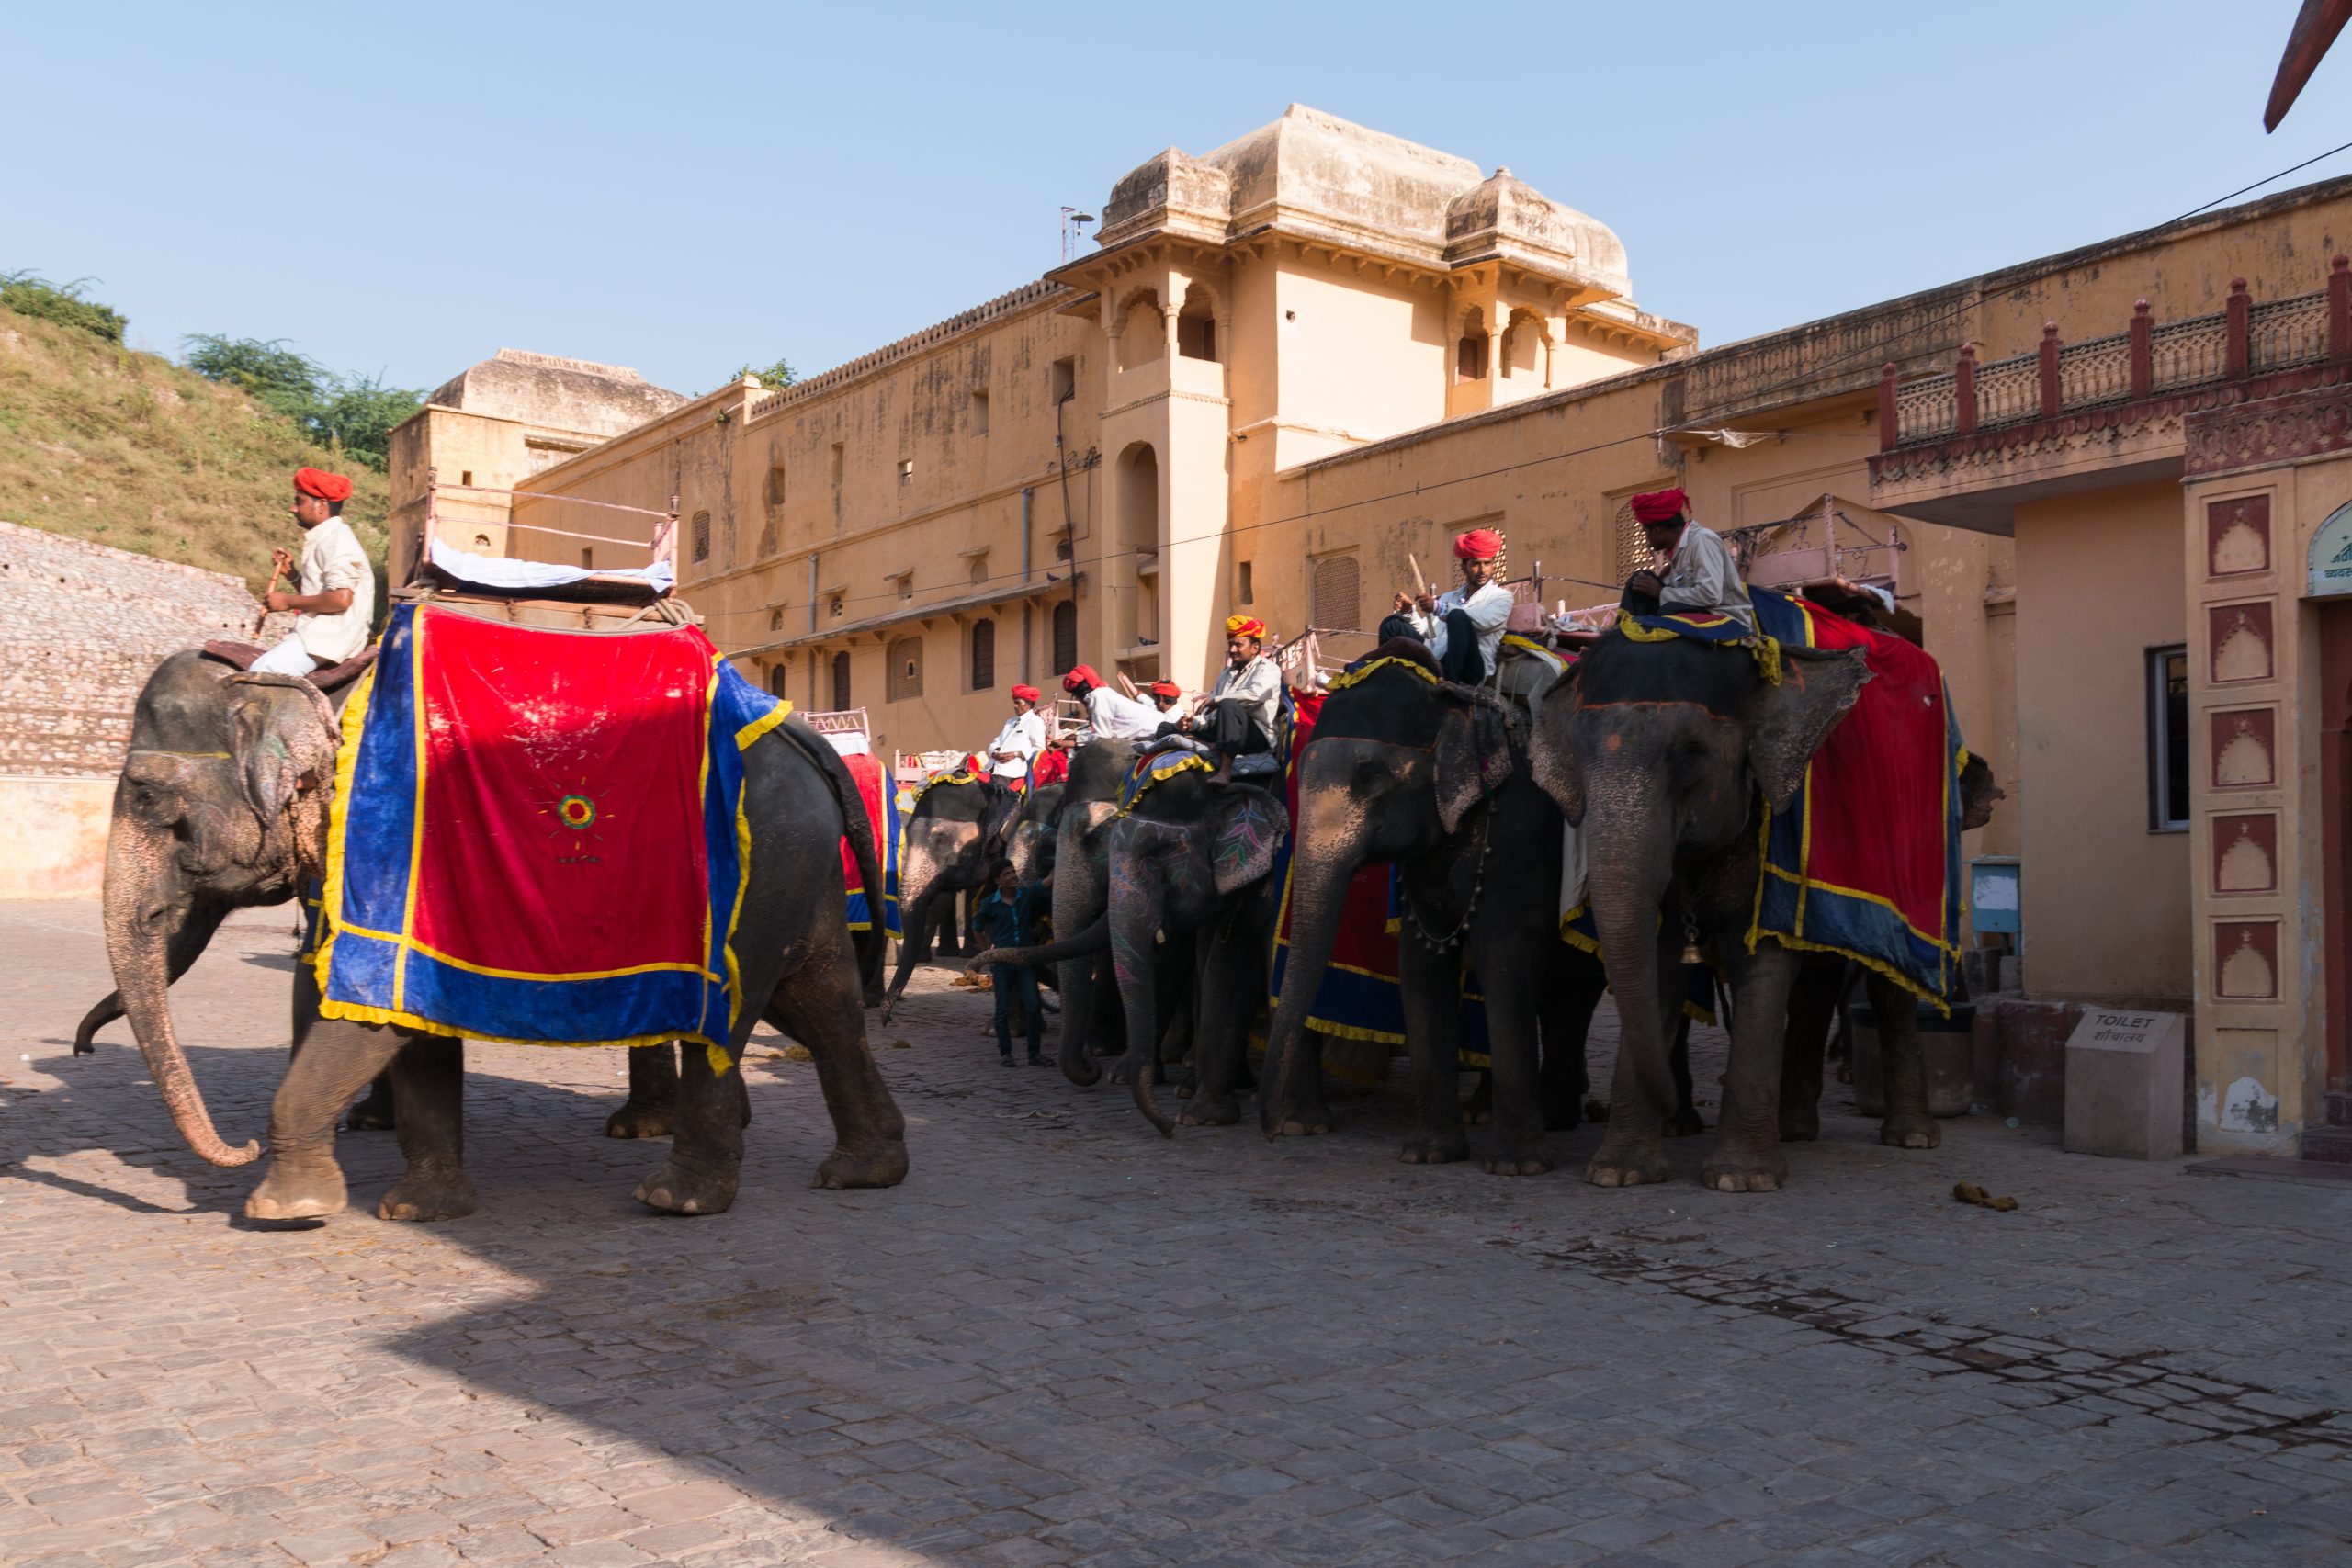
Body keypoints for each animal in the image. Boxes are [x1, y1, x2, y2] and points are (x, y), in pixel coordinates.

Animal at [1261, 649, 1589, 1175]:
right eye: (1299, 779)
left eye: (1370, 776)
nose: (1270, 1136)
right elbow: (1420, 966)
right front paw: (1428, 1154)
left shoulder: (1521, 833)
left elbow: (1504, 955)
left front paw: (1515, 1167)